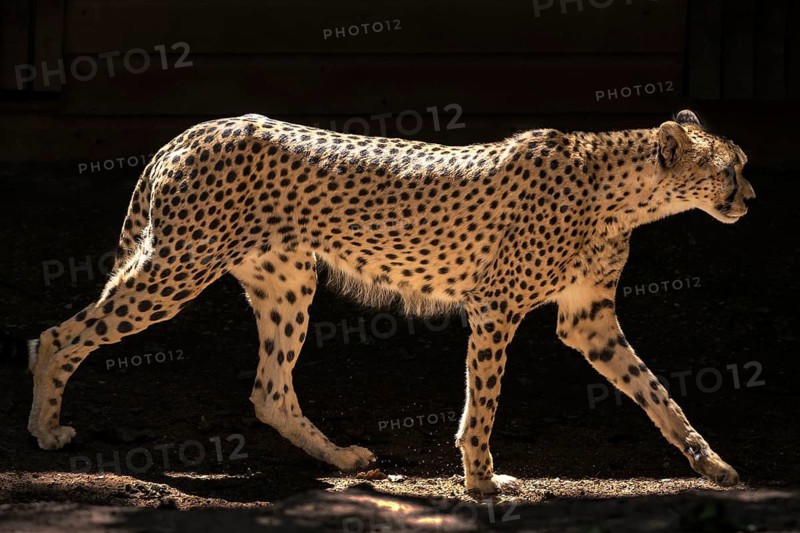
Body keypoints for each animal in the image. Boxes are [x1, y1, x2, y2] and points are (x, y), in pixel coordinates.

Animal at [28, 108, 754, 495]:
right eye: (728, 169)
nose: (750, 198)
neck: (623, 192)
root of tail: (194, 130)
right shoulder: (495, 307)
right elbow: (484, 402)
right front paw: (482, 480)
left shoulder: (589, 320)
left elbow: (659, 393)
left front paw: (712, 462)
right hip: (176, 269)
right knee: (57, 336)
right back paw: (45, 428)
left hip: (286, 282)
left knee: (270, 389)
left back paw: (343, 459)